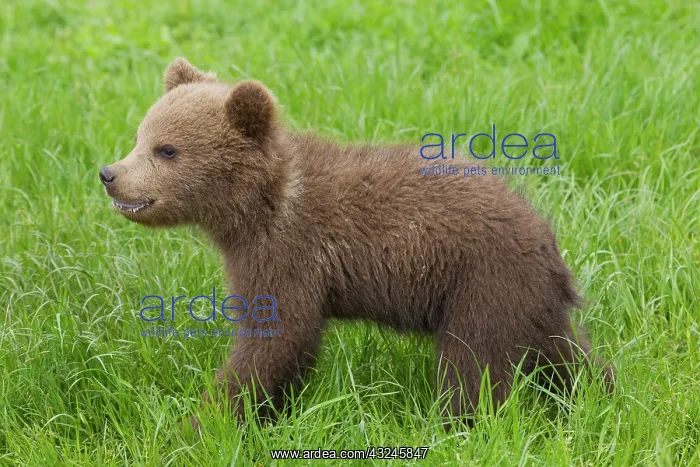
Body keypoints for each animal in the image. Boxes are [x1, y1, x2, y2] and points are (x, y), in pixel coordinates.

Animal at [100, 57, 614, 427]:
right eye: (139, 135)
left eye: (167, 149)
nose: (109, 174)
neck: (260, 209)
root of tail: (546, 239)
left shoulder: (290, 255)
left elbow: (276, 340)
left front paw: (204, 420)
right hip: (525, 300)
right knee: (564, 352)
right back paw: (598, 394)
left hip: (483, 285)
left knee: (474, 367)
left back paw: (455, 425)